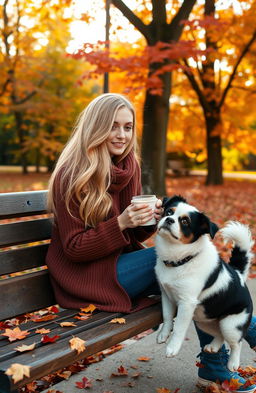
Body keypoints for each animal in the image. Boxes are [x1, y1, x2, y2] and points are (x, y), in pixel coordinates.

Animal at [155, 195, 253, 370]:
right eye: (169, 212)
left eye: (185, 221)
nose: (169, 220)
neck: (181, 259)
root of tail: (239, 275)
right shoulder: (166, 295)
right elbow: (167, 317)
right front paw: (163, 334)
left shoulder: (186, 304)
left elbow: (179, 328)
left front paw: (172, 347)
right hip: (204, 320)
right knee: (220, 334)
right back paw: (213, 346)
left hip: (230, 324)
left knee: (237, 342)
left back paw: (233, 363)